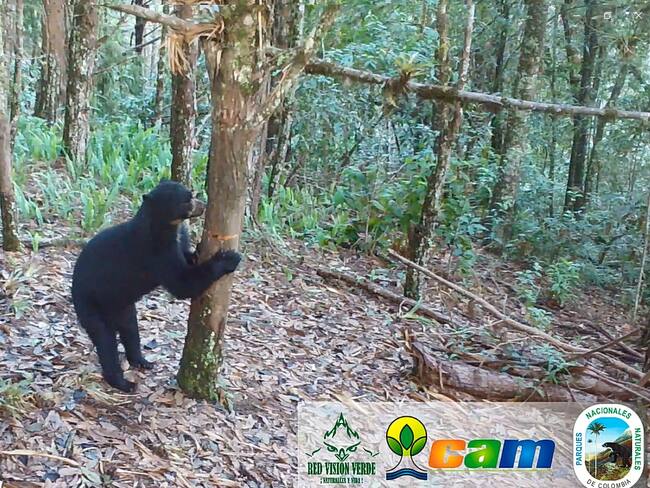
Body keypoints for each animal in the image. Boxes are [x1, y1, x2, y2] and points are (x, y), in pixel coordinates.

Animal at [71, 180, 241, 392]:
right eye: (187, 200)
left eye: (191, 193)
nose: (203, 205)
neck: (165, 228)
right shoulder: (154, 253)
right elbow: (181, 283)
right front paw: (229, 258)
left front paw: (197, 251)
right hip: (91, 305)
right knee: (105, 341)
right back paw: (124, 382)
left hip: (123, 305)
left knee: (130, 330)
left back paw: (142, 361)